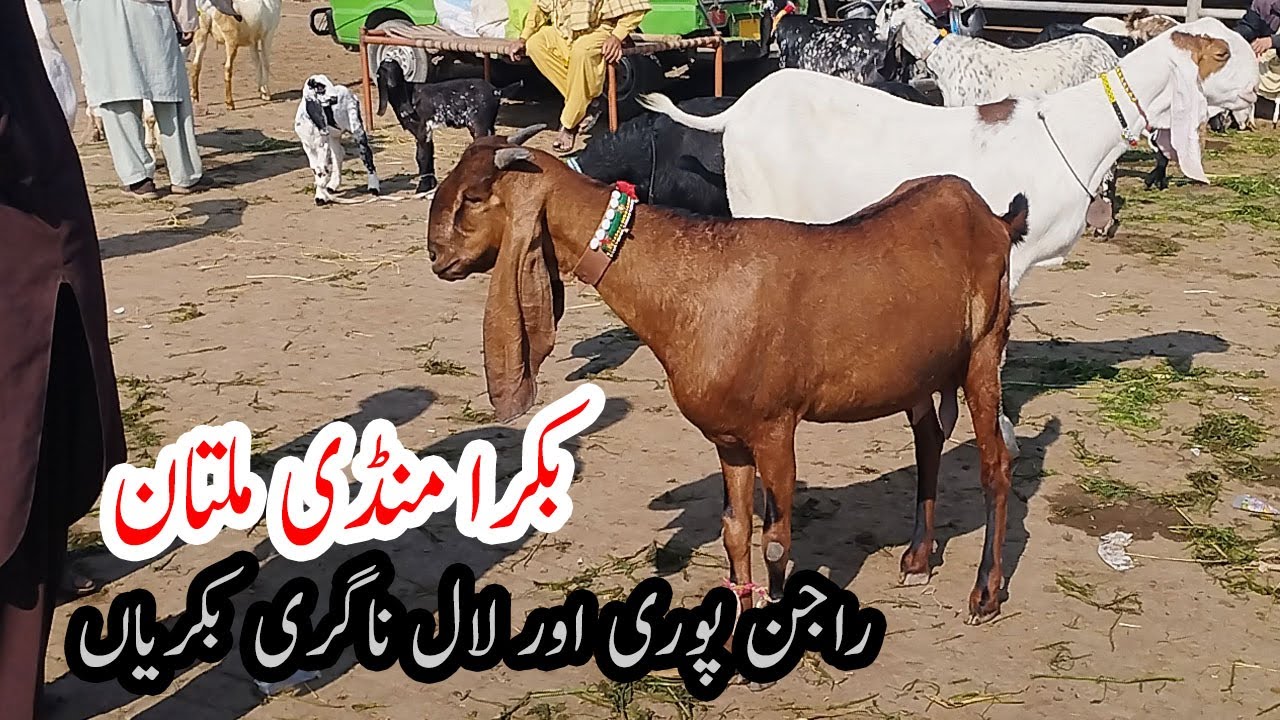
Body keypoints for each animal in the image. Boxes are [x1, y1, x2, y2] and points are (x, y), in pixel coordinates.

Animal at [294, 75, 379, 205]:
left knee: (366, 155)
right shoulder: (308, 147)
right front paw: (321, 193)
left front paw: (321, 195)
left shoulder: (322, 145)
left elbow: (321, 169)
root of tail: (349, 92)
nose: (335, 98)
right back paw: (333, 185)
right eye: (320, 87)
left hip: (357, 129)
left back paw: (374, 187)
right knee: (338, 154)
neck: (310, 121)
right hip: (333, 137)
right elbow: (316, 169)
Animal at [376, 57, 521, 194]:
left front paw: (422, 187)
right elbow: (428, 154)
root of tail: (496, 91)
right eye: (384, 70)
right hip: (489, 124)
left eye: (397, 71)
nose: (392, 84)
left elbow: (421, 156)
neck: (409, 95)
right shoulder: (426, 132)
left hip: (479, 124)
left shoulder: (422, 130)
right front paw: (430, 184)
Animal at [428, 128, 1030, 624]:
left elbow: (776, 539)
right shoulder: (728, 437)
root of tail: (991, 218)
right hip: (921, 371)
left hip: (984, 350)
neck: (697, 284)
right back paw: (919, 558)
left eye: (475, 197)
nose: (436, 255)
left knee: (996, 464)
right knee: (928, 442)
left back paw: (985, 593)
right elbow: (734, 531)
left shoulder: (775, 427)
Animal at [639, 18, 1261, 456]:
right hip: (757, 205)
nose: (1258, 86)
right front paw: (999, 429)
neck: (1069, 130)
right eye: (1221, 53)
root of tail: (735, 113)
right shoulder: (1006, 258)